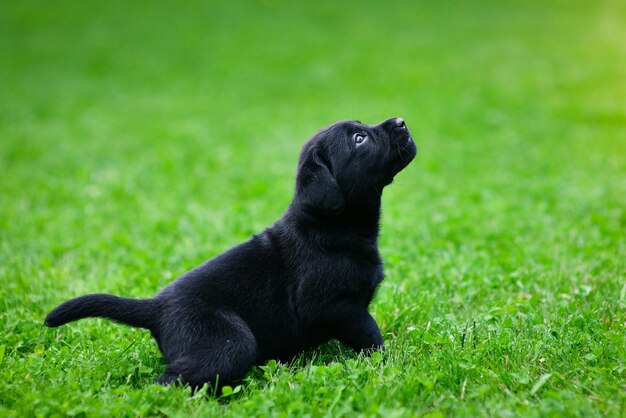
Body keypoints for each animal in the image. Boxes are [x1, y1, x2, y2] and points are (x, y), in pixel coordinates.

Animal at [44, 116, 414, 386]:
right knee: (169, 382)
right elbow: (370, 333)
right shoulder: (335, 307)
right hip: (229, 340)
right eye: (359, 139)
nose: (400, 121)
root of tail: (157, 307)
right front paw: (389, 361)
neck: (330, 227)